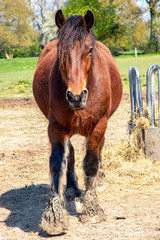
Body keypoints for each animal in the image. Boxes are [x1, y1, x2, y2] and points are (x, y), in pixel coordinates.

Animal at [32, 9, 122, 234]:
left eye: (89, 50)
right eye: (60, 51)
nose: (76, 97)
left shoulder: (99, 125)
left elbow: (91, 163)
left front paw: (92, 209)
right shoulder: (56, 127)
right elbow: (57, 163)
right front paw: (54, 216)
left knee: (98, 152)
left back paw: (99, 180)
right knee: (70, 155)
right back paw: (72, 188)